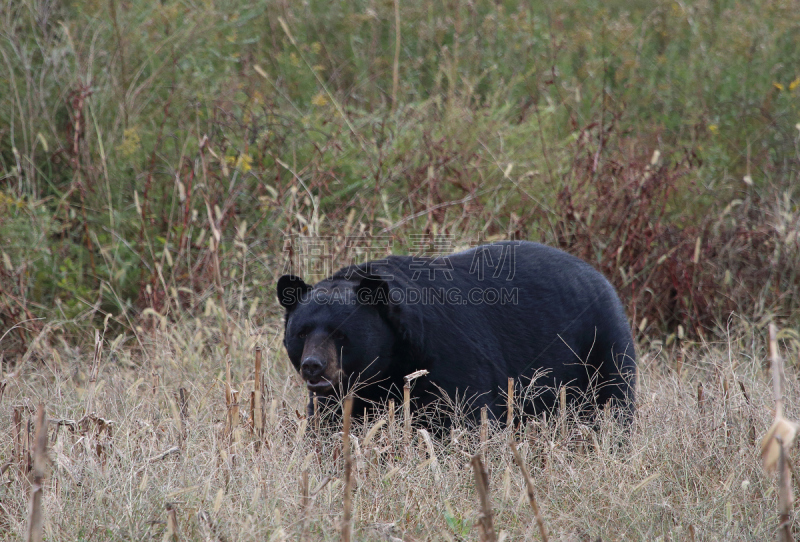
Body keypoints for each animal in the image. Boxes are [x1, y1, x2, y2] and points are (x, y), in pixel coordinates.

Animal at [278, 241, 636, 424]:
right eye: (302, 333)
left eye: (341, 334)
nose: (313, 366)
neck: (393, 361)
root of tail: (601, 278)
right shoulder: (343, 395)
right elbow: (332, 424)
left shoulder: (449, 358)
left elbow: (467, 415)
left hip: (601, 349)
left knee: (613, 406)